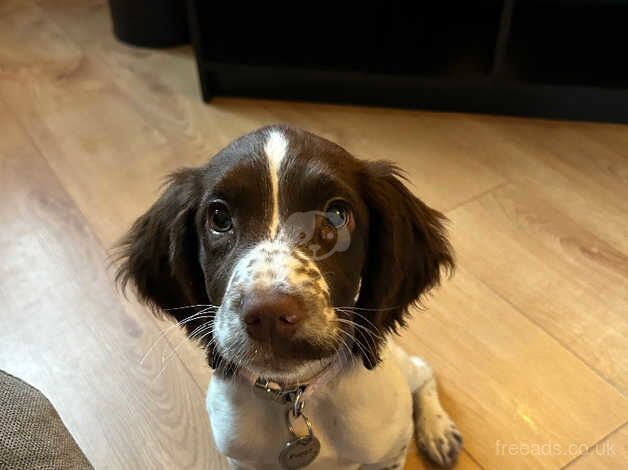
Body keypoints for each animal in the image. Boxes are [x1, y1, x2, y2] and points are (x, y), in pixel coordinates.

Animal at [116, 125, 462, 470]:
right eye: (219, 219)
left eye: (337, 215)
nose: (269, 315)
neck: (294, 393)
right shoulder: (242, 459)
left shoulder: (389, 451)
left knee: (421, 370)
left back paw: (438, 431)